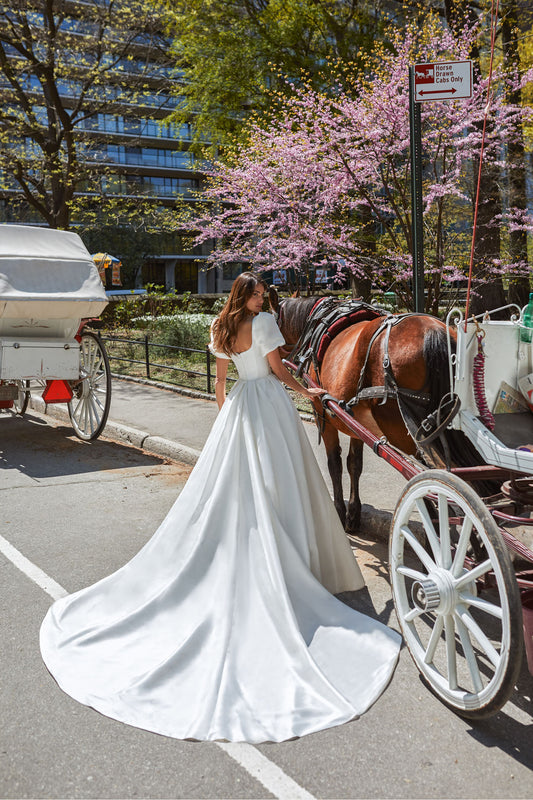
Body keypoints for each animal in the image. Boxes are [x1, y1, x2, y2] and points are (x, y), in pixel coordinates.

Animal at [268, 290, 460, 536]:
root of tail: (432, 330)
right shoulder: (356, 423)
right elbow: (354, 463)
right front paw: (353, 513)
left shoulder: (323, 413)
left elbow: (335, 464)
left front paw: (340, 513)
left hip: (402, 430)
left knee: (422, 472)